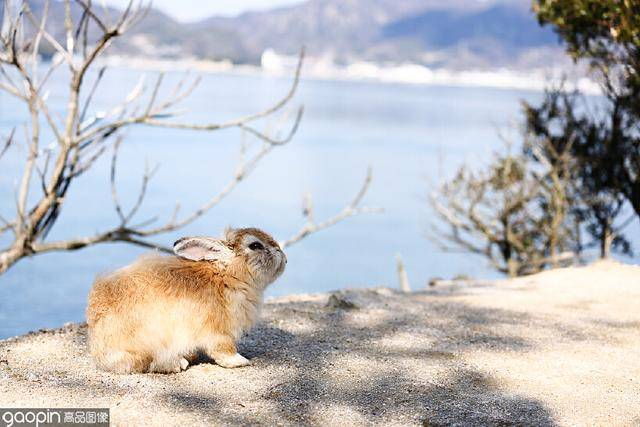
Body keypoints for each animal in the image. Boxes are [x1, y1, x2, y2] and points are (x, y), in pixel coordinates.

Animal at [86, 227, 286, 374]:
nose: (283, 257)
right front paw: (241, 361)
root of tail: (99, 348)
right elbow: (223, 350)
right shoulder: (216, 332)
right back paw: (179, 363)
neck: (226, 276)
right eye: (255, 245)